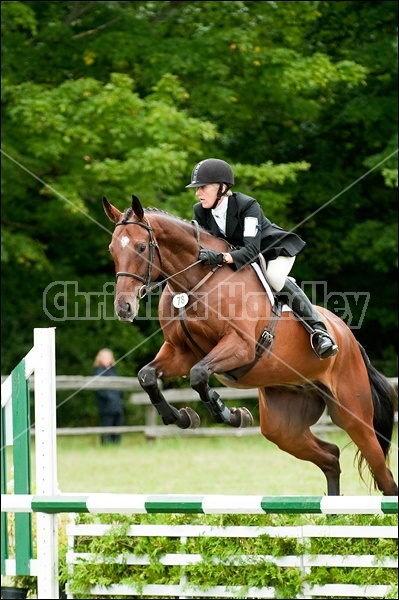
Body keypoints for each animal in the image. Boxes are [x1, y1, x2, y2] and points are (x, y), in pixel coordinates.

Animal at [102, 195, 396, 494]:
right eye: (113, 249)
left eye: (141, 247)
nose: (124, 308)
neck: (193, 284)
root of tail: (349, 338)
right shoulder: (180, 353)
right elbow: (148, 376)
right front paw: (183, 417)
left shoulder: (240, 346)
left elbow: (199, 375)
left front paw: (230, 414)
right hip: (283, 424)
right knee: (330, 456)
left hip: (354, 414)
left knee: (382, 473)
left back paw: (323, 341)